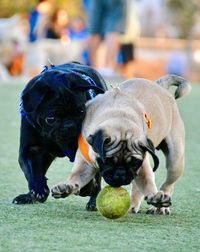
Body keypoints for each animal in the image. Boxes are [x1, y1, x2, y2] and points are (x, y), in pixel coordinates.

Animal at [12, 61, 107, 209]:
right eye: (50, 118)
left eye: (81, 112)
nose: (70, 125)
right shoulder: (30, 149)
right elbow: (31, 171)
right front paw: (38, 189)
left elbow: (87, 174)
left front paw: (87, 188)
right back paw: (29, 196)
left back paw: (93, 200)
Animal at [51, 75, 191, 215]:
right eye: (107, 161)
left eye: (134, 163)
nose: (120, 173)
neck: (119, 116)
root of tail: (160, 86)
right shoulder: (85, 165)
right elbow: (75, 178)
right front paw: (67, 187)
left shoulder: (142, 166)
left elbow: (147, 182)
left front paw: (154, 196)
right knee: (137, 187)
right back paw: (133, 206)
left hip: (175, 160)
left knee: (168, 184)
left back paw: (160, 206)